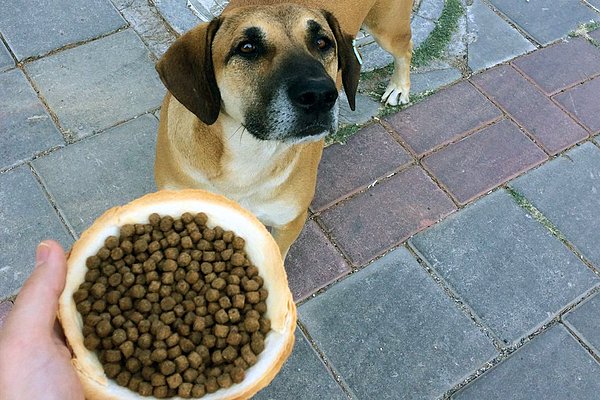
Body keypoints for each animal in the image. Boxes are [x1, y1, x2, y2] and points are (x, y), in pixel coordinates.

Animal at [154, 0, 412, 260]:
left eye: (322, 42)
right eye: (247, 48)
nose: (319, 96)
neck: (247, 155)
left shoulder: (288, 223)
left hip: (387, 28)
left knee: (405, 50)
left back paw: (399, 87)